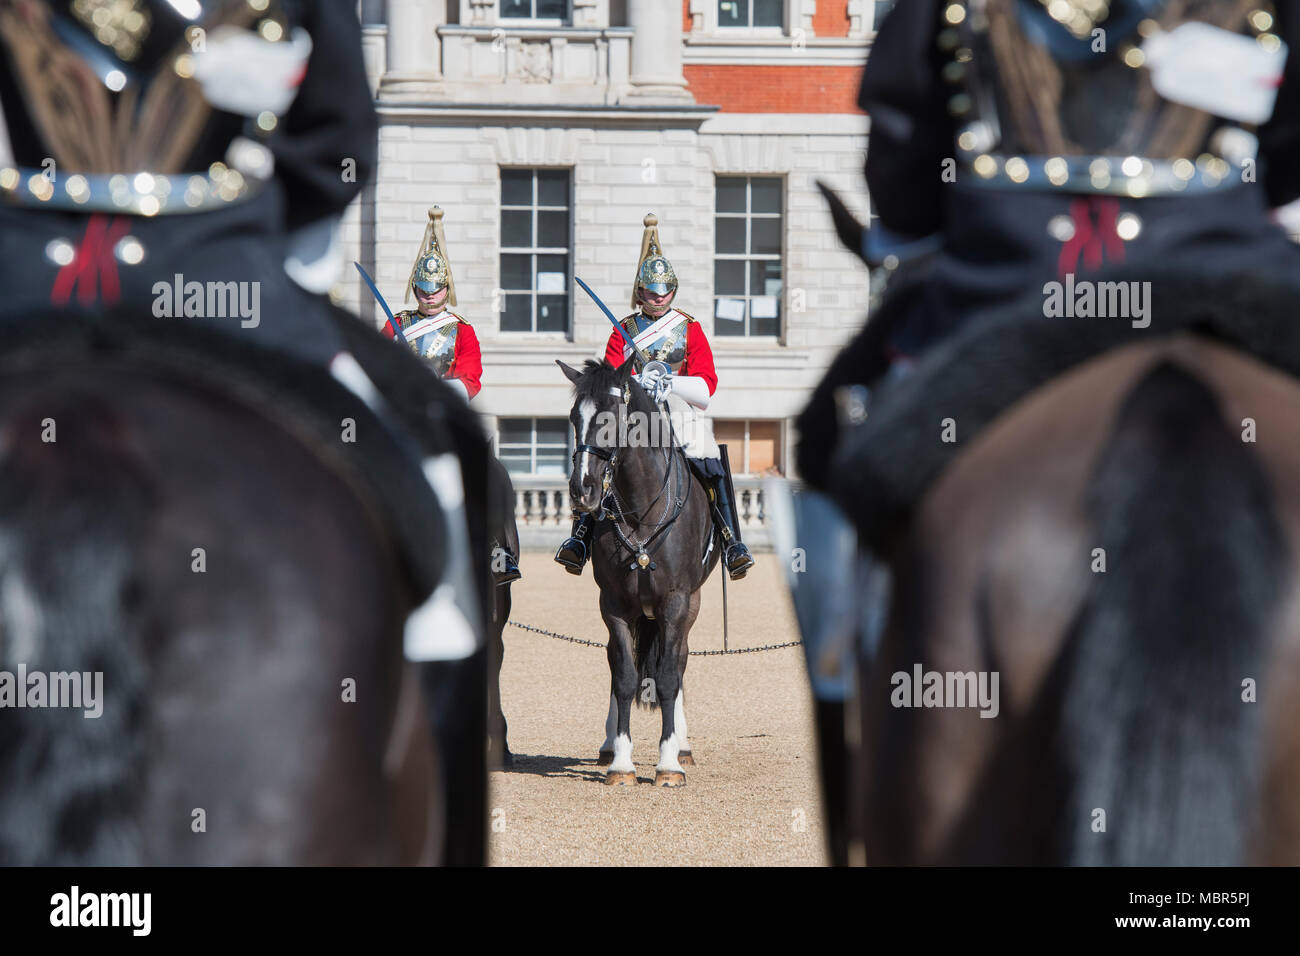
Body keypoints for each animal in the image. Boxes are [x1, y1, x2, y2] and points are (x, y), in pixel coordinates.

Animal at [559, 356, 722, 785]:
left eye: (613, 415)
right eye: (574, 416)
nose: (582, 491)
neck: (641, 510)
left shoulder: (676, 603)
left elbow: (666, 678)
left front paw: (668, 764)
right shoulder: (614, 604)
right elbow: (625, 677)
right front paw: (621, 762)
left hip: (689, 606)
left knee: (678, 663)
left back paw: (682, 746)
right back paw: (608, 746)